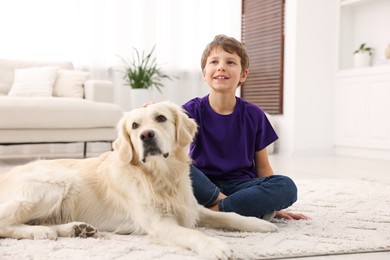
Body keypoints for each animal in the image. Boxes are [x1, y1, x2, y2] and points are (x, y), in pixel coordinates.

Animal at [0, 102, 278, 260]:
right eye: (134, 126)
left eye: (161, 118)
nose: (146, 135)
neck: (161, 176)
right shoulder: (158, 223)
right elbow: (191, 234)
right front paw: (215, 246)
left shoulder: (191, 207)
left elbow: (228, 216)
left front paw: (260, 224)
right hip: (54, 184)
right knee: (6, 222)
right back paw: (40, 231)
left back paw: (76, 228)